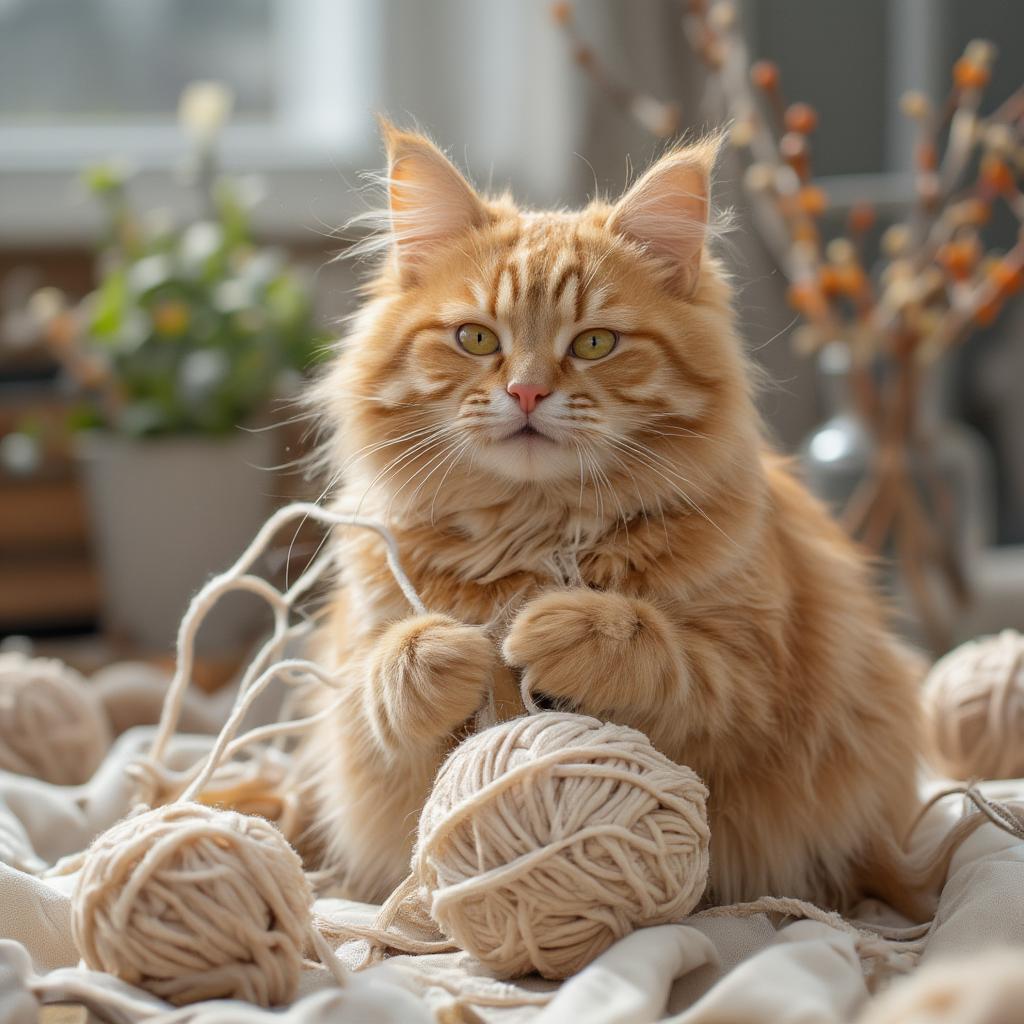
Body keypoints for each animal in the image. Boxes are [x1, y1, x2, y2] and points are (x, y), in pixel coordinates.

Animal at [296, 123, 929, 917]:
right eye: (477, 339)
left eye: (594, 344)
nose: (526, 392)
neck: (536, 530)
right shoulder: (357, 704)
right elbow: (386, 684)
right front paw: (447, 651)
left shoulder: (754, 687)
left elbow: (657, 651)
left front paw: (561, 628)